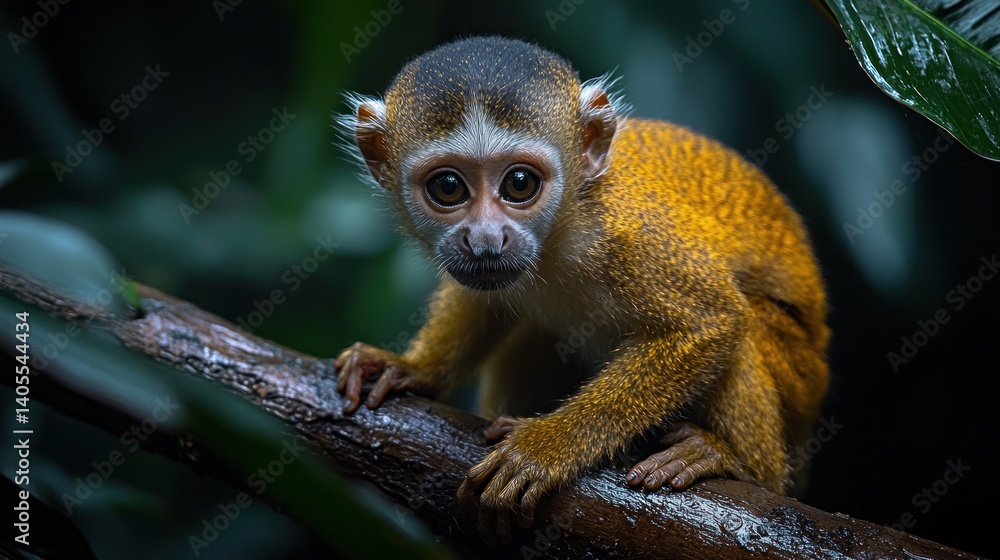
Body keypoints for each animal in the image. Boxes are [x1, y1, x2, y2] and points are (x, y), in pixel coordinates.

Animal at [334, 36, 829, 540]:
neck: (562, 227)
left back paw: (736, 464)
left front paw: (545, 447)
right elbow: (481, 300)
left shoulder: (626, 233)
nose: (486, 239)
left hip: (800, 379)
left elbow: (712, 321)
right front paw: (416, 368)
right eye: (449, 187)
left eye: (519, 183)